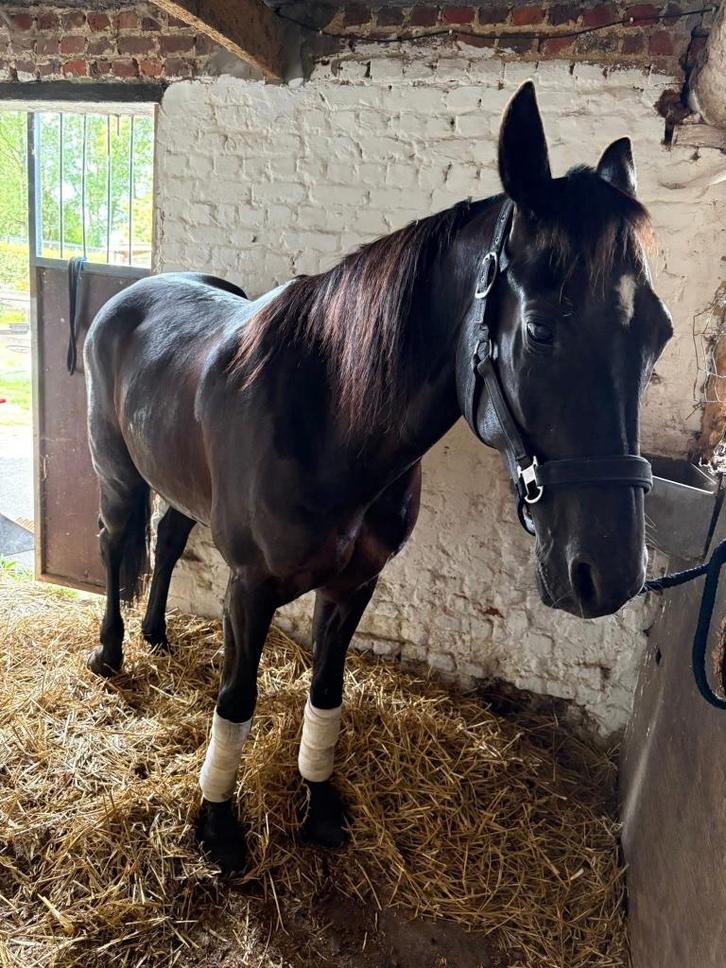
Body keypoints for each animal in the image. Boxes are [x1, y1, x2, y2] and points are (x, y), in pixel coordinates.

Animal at [83, 81, 673, 874]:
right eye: (542, 328)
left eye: (659, 334)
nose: (608, 574)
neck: (328, 417)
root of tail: (132, 296)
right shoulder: (250, 589)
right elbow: (236, 698)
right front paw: (218, 826)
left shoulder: (354, 584)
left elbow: (328, 690)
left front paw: (320, 805)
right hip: (117, 473)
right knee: (117, 544)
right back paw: (112, 652)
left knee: (170, 539)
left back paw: (154, 635)